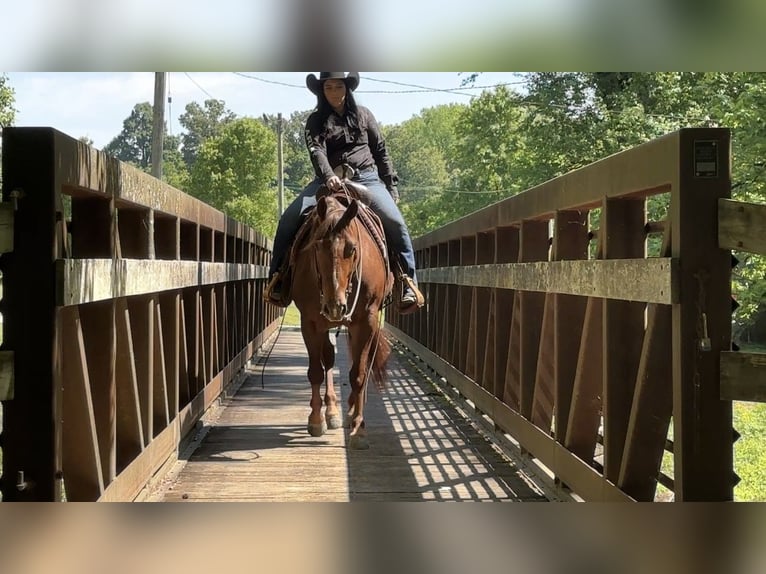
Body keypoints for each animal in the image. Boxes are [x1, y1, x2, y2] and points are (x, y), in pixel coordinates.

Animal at [290, 186, 393, 450]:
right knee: (328, 358)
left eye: (352, 248)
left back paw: (348, 413)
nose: (335, 305)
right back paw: (332, 411)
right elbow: (316, 370)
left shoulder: (366, 321)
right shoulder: (310, 322)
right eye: (317, 246)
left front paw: (358, 428)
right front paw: (317, 420)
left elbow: (358, 374)